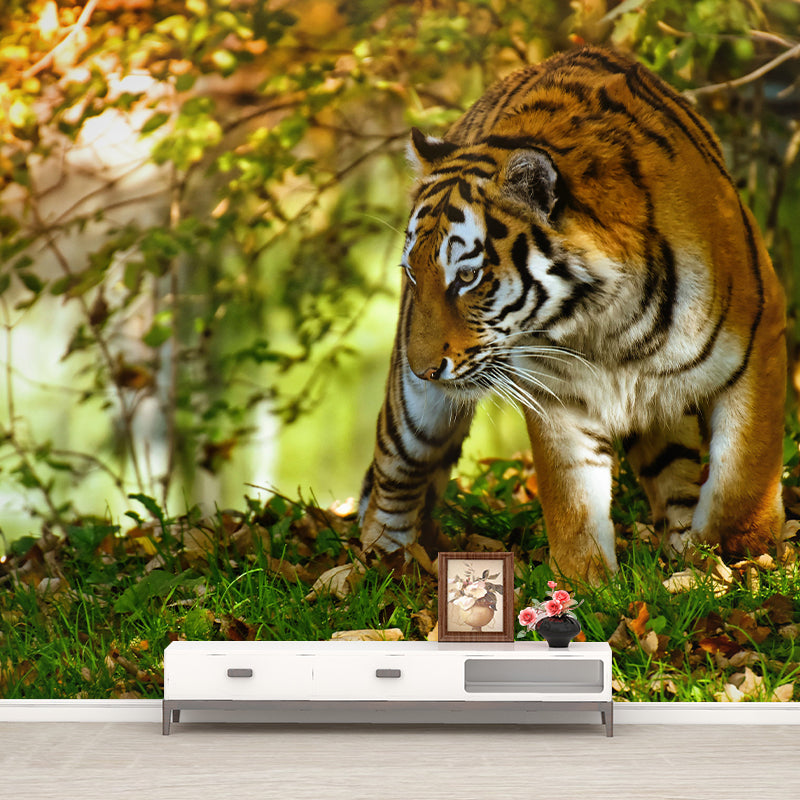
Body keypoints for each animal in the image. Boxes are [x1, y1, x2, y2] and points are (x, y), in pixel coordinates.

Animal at [357, 45, 787, 585]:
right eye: (413, 274)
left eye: (467, 277)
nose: (424, 369)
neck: (606, 324)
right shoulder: (555, 394)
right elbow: (573, 501)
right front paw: (588, 584)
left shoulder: (759, 341)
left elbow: (744, 475)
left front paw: (738, 555)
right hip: (414, 416)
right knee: (393, 478)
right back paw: (379, 568)